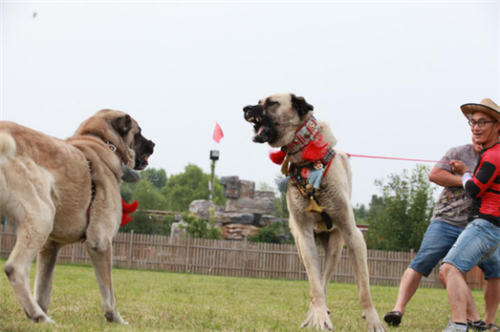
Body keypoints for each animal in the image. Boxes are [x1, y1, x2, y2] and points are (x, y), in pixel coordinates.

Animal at [0, 109, 154, 324]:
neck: (102, 142)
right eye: (138, 132)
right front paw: (116, 319)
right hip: (42, 216)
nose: (153, 144)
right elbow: (109, 293)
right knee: (15, 268)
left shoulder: (50, 248)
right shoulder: (100, 242)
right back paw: (39, 316)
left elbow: (43, 291)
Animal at [244, 94, 384, 332]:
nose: (245, 108)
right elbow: (315, 285)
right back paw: (316, 314)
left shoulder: (353, 235)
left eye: (271, 103)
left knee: (331, 277)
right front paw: (318, 317)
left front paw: (373, 320)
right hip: (302, 245)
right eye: (259, 101)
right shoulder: (304, 235)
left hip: (336, 246)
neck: (307, 161)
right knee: (317, 281)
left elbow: (364, 287)